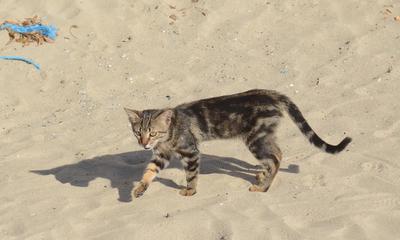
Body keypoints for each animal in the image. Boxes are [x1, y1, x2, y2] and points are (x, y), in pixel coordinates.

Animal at [124, 89, 350, 198]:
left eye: (152, 133)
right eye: (138, 133)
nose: (144, 144)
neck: (169, 134)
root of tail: (271, 93)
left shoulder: (190, 152)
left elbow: (191, 175)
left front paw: (190, 191)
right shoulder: (161, 155)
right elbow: (149, 172)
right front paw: (139, 189)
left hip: (255, 139)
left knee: (276, 158)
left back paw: (263, 187)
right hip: (263, 137)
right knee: (276, 153)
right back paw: (262, 176)